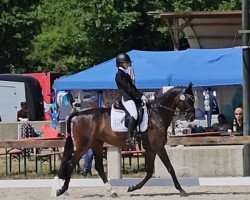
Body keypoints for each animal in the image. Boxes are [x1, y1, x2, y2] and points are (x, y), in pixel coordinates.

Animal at [56, 83, 195, 197]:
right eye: (189, 101)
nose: (192, 117)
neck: (157, 114)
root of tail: (80, 113)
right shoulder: (159, 147)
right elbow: (170, 168)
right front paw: (181, 190)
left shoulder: (151, 149)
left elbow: (150, 172)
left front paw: (132, 187)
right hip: (83, 146)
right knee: (71, 164)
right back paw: (61, 190)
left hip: (96, 144)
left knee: (99, 167)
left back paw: (112, 191)